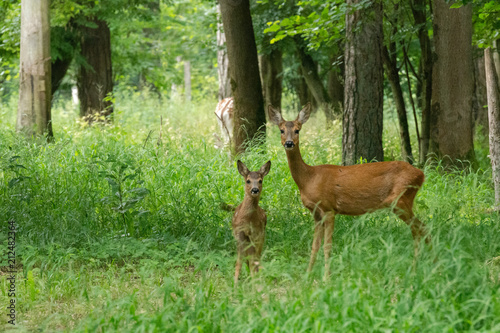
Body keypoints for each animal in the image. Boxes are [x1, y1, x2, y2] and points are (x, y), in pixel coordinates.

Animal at [270, 104, 430, 278]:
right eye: (281, 130)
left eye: (297, 130)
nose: (289, 143)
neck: (308, 179)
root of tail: (421, 174)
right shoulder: (316, 213)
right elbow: (314, 246)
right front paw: (308, 275)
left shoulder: (329, 208)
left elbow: (327, 246)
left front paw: (326, 277)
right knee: (418, 230)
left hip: (400, 199)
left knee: (422, 228)